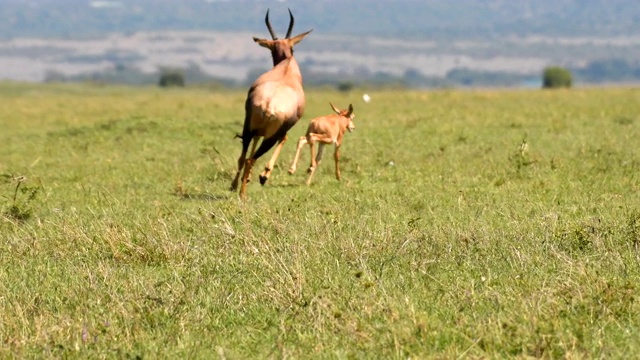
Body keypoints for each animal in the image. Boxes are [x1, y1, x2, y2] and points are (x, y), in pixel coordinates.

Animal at [230, 9, 312, 200]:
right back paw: (244, 192)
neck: (287, 68)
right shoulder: (286, 127)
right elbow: (285, 138)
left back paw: (235, 186)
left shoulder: (258, 129)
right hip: (271, 135)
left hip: (248, 126)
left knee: (244, 156)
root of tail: (269, 105)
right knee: (251, 158)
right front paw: (264, 175)